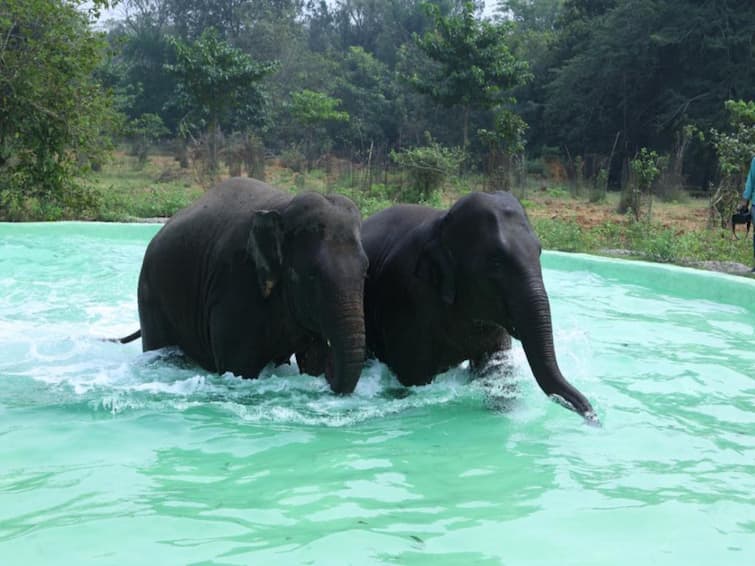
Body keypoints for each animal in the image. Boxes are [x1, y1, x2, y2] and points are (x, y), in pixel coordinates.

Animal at [114, 178, 370, 394]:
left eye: (366, 271)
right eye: (312, 275)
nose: (330, 374)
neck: (283, 207)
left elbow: (312, 357)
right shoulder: (234, 283)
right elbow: (239, 367)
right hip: (151, 296)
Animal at [364, 193, 600, 424]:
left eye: (539, 251)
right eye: (495, 262)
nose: (593, 417)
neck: (441, 224)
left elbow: (498, 369)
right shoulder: (406, 299)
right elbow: (413, 378)